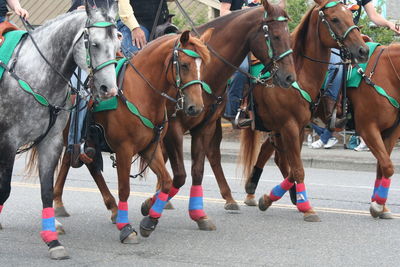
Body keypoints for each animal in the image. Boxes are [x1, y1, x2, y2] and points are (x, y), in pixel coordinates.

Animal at [0, 3, 119, 260]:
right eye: (94, 44)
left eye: (117, 43)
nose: (109, 89)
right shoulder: (8, 141)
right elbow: (4, 189)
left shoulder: (51, 142)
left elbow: (46, 190)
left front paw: (52, 240)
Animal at [54, 29, 214, 243]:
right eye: (185, 64)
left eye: (202, 66)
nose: (196, 107)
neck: (141, 93)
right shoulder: (124, 149)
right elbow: (124, 189)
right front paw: (126, 228)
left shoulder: (149, 148)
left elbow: (167, 181)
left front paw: (150, 220)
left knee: (83, 164)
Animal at [238, 0, 368, 222]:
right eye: (335, 19)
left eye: (351, 17)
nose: (363, 50)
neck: (299, 74)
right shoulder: (289, 126)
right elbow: (297, 169)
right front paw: (306, 208)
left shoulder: (297, 127)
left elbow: (294, 168)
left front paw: (273, 198)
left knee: (272, 154)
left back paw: (256, 186)